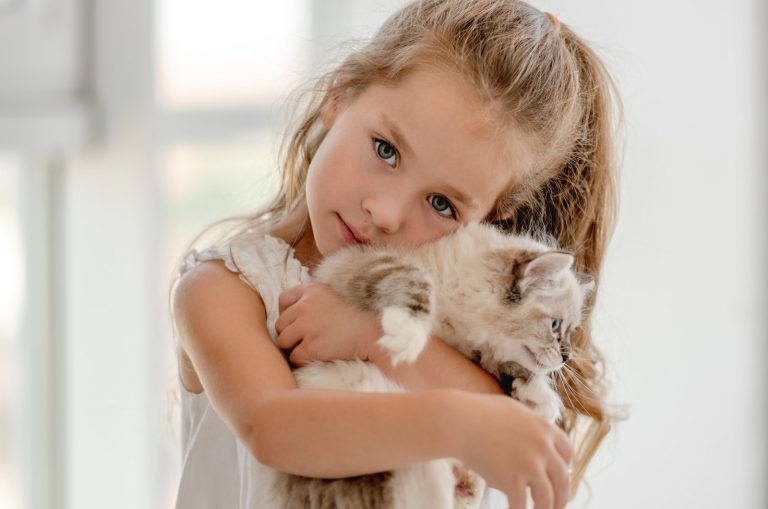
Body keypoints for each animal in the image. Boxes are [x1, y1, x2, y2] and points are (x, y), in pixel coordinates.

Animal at [260, 221, 592, 508]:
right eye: (555, 326)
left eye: (569, 331)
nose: (566, 357)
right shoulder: (363, 260)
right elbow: (416, 280)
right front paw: (408, 333)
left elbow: (506, 367)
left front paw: (540, 397)